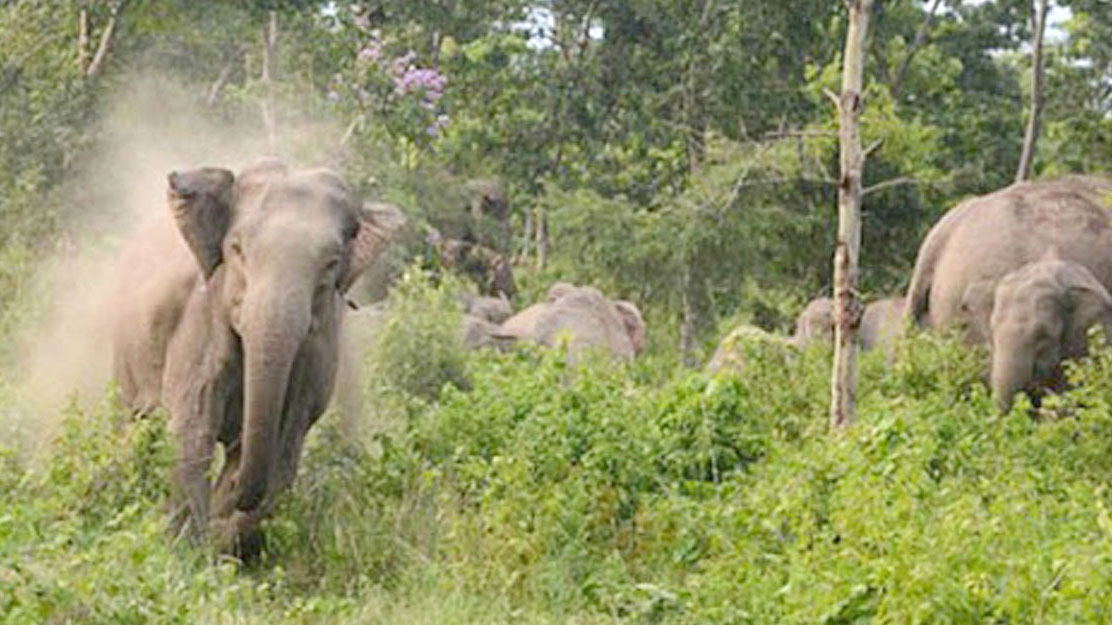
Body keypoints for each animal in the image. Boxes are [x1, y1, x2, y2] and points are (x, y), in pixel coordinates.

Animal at [110, 157, 406, 556]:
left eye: (331, 264)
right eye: (237, 250)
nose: (231, 499)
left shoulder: (318, 351)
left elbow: (285, 444)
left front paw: (220, 538)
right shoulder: (201, 320)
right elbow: (193, 428)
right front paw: (188, 551)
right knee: (134, 422)